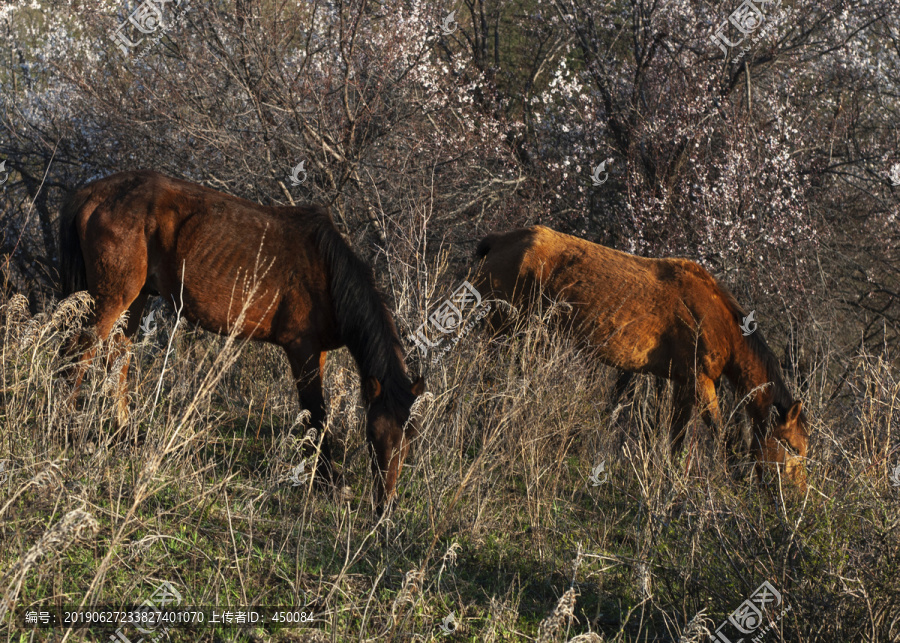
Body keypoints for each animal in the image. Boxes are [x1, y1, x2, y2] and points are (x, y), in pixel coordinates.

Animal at [60, 170, 426, 512]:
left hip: (135, 299)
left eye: (410, 438)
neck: (326, 269)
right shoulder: (301, 349)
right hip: (112, 297)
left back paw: (124, 433)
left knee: (117, 357)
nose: (385, 506)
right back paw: (67, 429)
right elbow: (316, 415)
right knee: (80, 352)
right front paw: (326, 480)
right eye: (371, 436)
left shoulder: (318, 353)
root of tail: (91, 191)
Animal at [474, 225, 812, 488]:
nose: (798, 495)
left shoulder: (684, 383)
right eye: (794, 447)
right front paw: (733, 480)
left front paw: (673, 478)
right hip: (500, 329)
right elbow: (720, 435)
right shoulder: (701, 381)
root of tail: (499, 240)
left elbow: (677, 436)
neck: (718, 320)